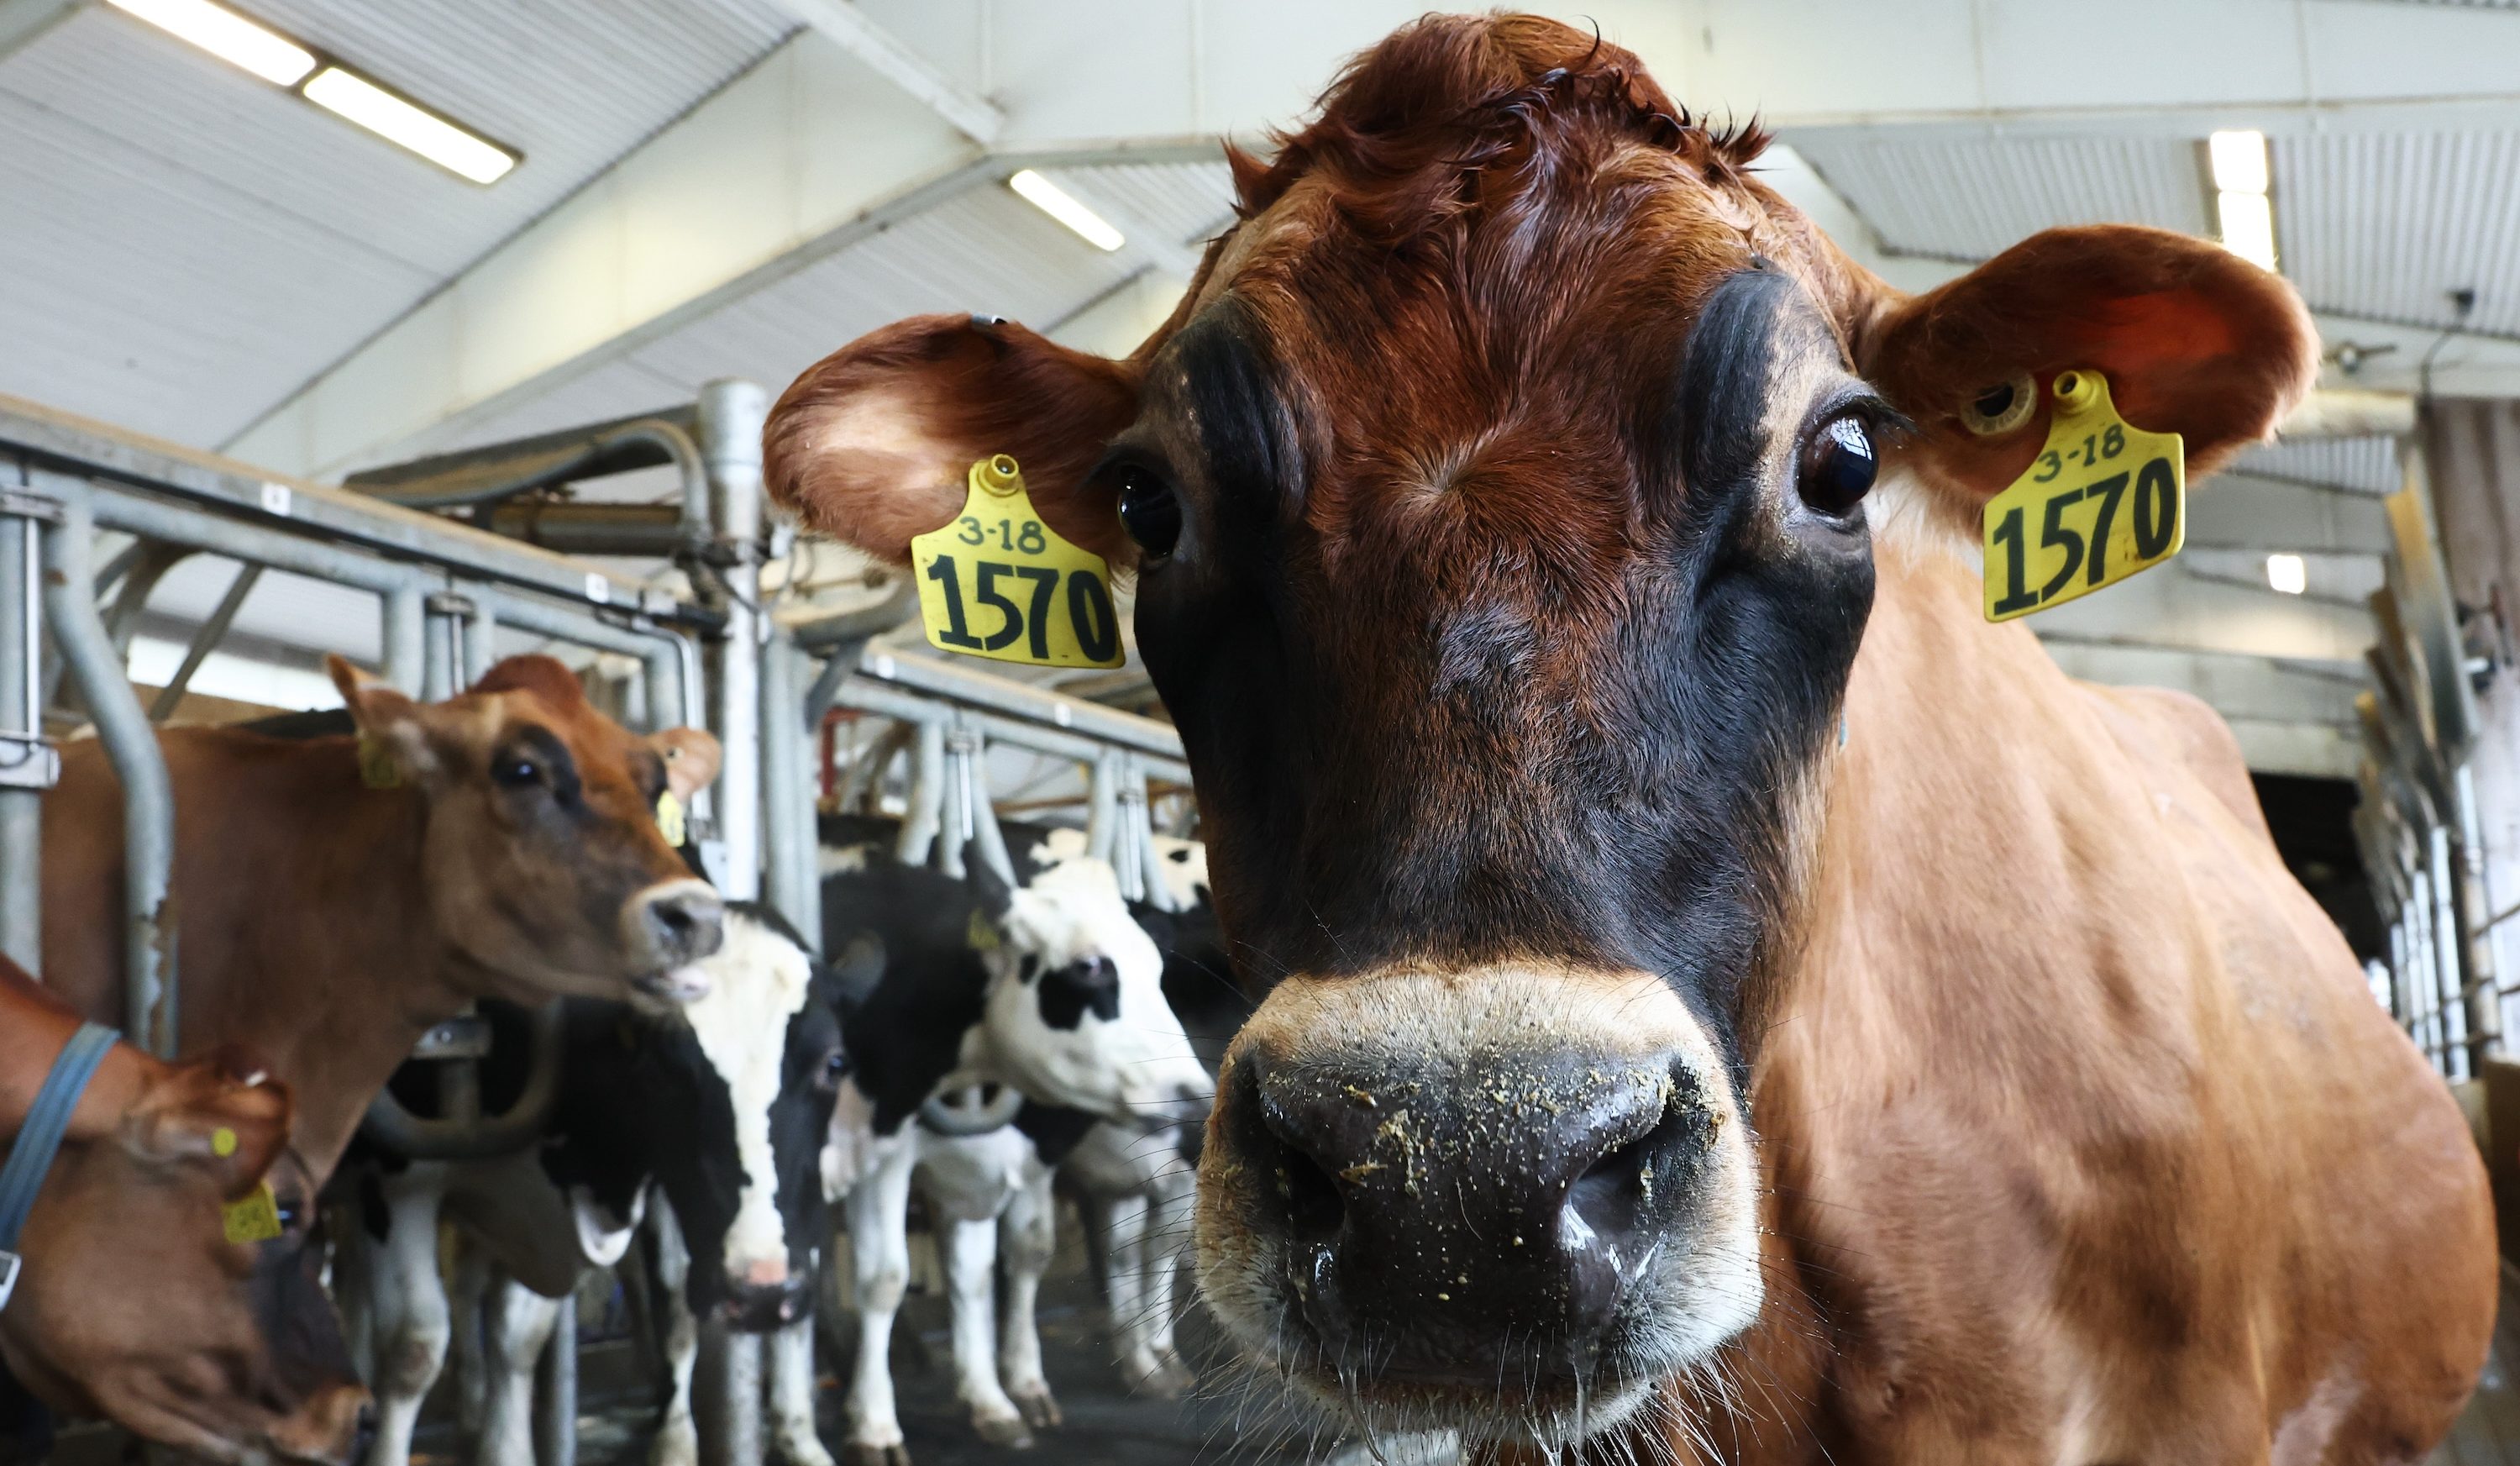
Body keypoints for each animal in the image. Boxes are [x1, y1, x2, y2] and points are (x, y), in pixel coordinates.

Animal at [338, 906, 853, 1466]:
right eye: (662, 1067)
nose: (762, 1292)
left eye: (835, 1063)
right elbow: (414, 1348)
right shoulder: (397, 1178)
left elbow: (519, 1339)